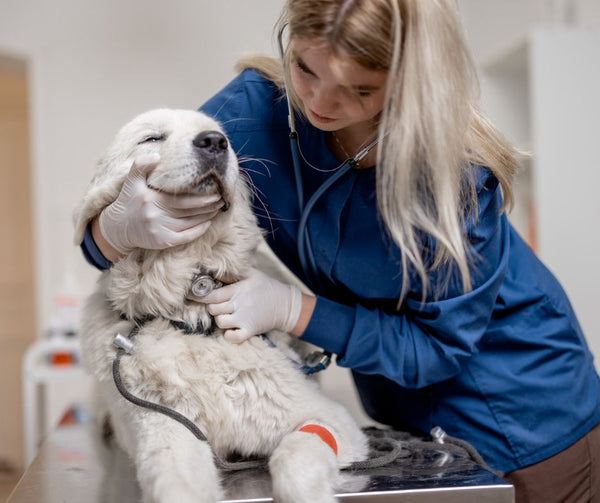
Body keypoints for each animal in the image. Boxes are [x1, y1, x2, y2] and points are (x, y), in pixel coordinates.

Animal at [72, 109, 368, 503]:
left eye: (219, 134)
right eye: (152, 139)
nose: (214, 142)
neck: (191, 315)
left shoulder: (330, 420)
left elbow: (295, 458)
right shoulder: (167, 428)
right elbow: (176, 486)